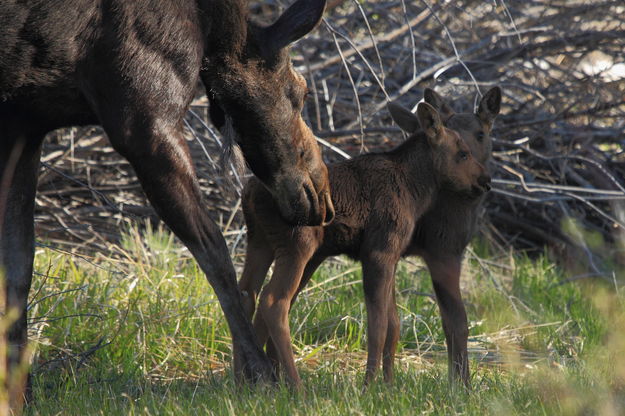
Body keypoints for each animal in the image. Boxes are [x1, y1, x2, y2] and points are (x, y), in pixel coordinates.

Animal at [0, 0, 334, 402]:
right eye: (299, 92)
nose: (321, 196)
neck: (212, 26)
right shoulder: (144, 121)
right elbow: (215, 254)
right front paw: (260, 374)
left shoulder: (24, 124)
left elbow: (19, 268)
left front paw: (21, 394)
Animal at [234, 99, 492, 388]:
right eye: (462, 153)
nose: (486, 181)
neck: (417, 189)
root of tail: (249, 192)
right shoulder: (378, 253)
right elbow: (377, 327)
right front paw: (369, 385)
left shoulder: (391, 256)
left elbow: (393, 324)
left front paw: (389, 384)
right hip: (298, 246)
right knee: (273, 302)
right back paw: (295, 386)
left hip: (261, 243)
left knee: (245, 295)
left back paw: (245, 380)